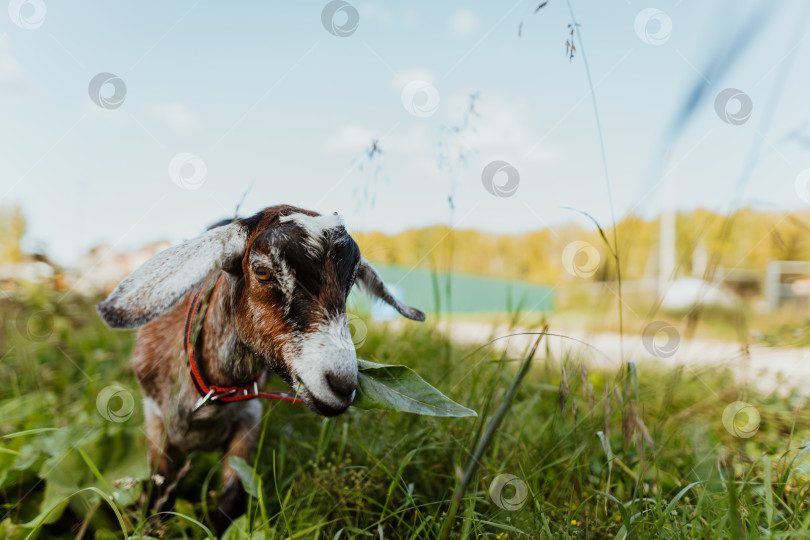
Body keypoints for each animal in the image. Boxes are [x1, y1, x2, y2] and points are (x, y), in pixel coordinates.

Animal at [96, 206, 422, 532]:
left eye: (351, 282)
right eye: (261, 270)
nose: (342, 384)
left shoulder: (249, 418)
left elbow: (230, 500)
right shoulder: (154, 419)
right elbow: (158, 496)